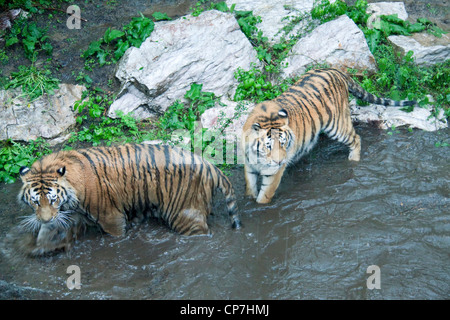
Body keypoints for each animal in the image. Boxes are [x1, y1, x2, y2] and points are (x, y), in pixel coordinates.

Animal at [16, 142, 243, 255]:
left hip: (185, 214)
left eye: (53, 199)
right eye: (36, 201)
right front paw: (37, 249)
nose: (45, 218)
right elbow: (49, 232)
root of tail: (210, 165)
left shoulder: (111, 217)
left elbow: (115, 236)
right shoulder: (65, 215)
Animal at [241, 67, 416, 204]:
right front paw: (249, 198)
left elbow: (264, 196)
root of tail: (334, 69)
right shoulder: (249, 165)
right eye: (269, 146)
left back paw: (353, 160)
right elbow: (250, 187)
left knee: (356, 138)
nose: (280, 161)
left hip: (337, 125)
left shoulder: (272, 173)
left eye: (283, 143)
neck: (258, 156)